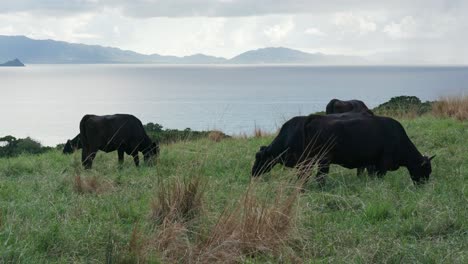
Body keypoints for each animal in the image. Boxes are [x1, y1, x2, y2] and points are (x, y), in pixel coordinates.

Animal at [252, 113, 436, 186]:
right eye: (426, 170)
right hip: (322, 160)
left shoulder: (372, 163)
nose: (252, 173)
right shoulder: (382, 162)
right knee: (319, 177)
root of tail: (313, 118)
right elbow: (379, 176)